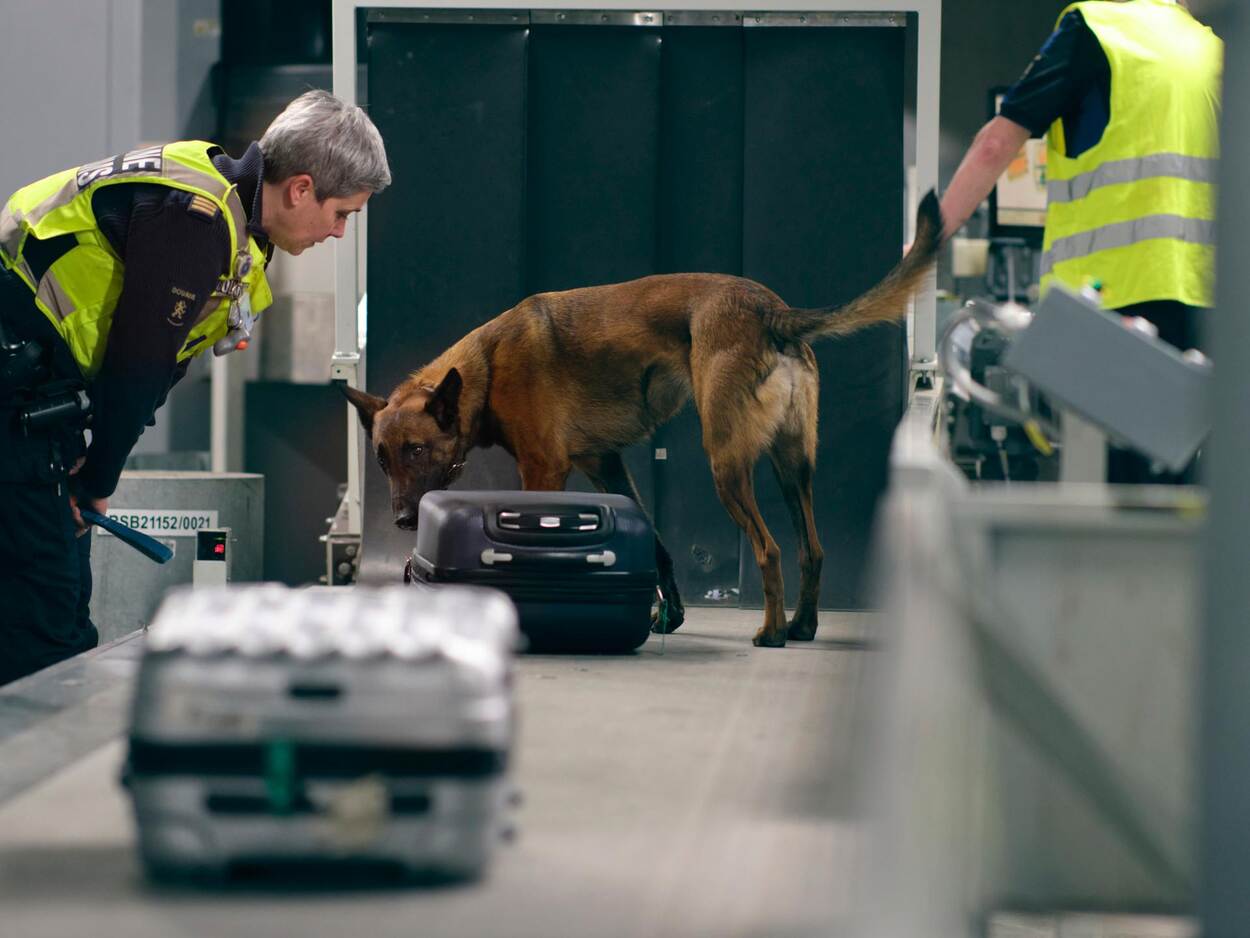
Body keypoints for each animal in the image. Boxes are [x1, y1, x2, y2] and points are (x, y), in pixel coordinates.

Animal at [347, 191, 940, 645]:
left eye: (417, 451)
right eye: (382, 460)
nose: (402, 519)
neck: (487, 366)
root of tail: (771, 311)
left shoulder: (543, 470)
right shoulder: (606, 465)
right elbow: (656, 544)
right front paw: (669, 615)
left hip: (727, 466)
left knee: (769, 549)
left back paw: (772, 633)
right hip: (790, 467)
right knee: (811, 549)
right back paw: (803, 626)